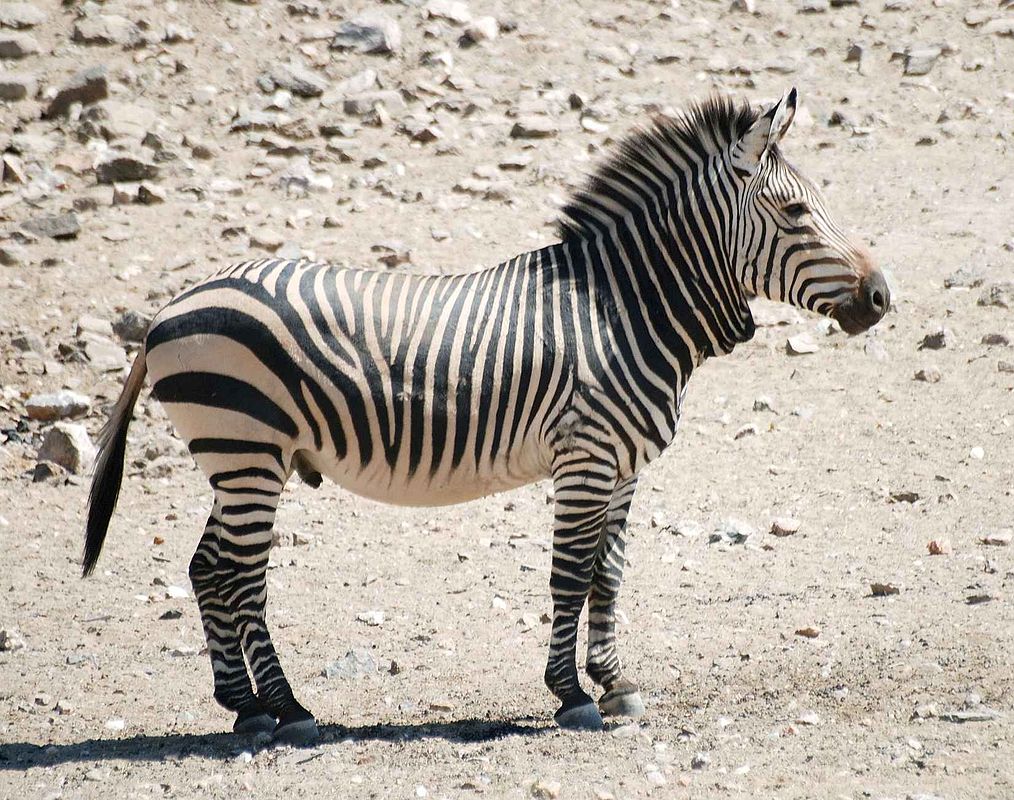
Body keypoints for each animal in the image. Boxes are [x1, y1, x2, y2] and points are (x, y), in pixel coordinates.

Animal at [83, 87, 892, 742]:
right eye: (795, 211)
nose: (882, 296)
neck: (624, 308)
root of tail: (166, 311)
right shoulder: (585, 456)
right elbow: (569, 575)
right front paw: (571, 695)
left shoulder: (624, 466)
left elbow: (608, 573)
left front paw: (616, 682)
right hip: (245, 451)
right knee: (239, 574)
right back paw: (287, 710)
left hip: (241, 460)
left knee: (207, 568)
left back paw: (247, 707)